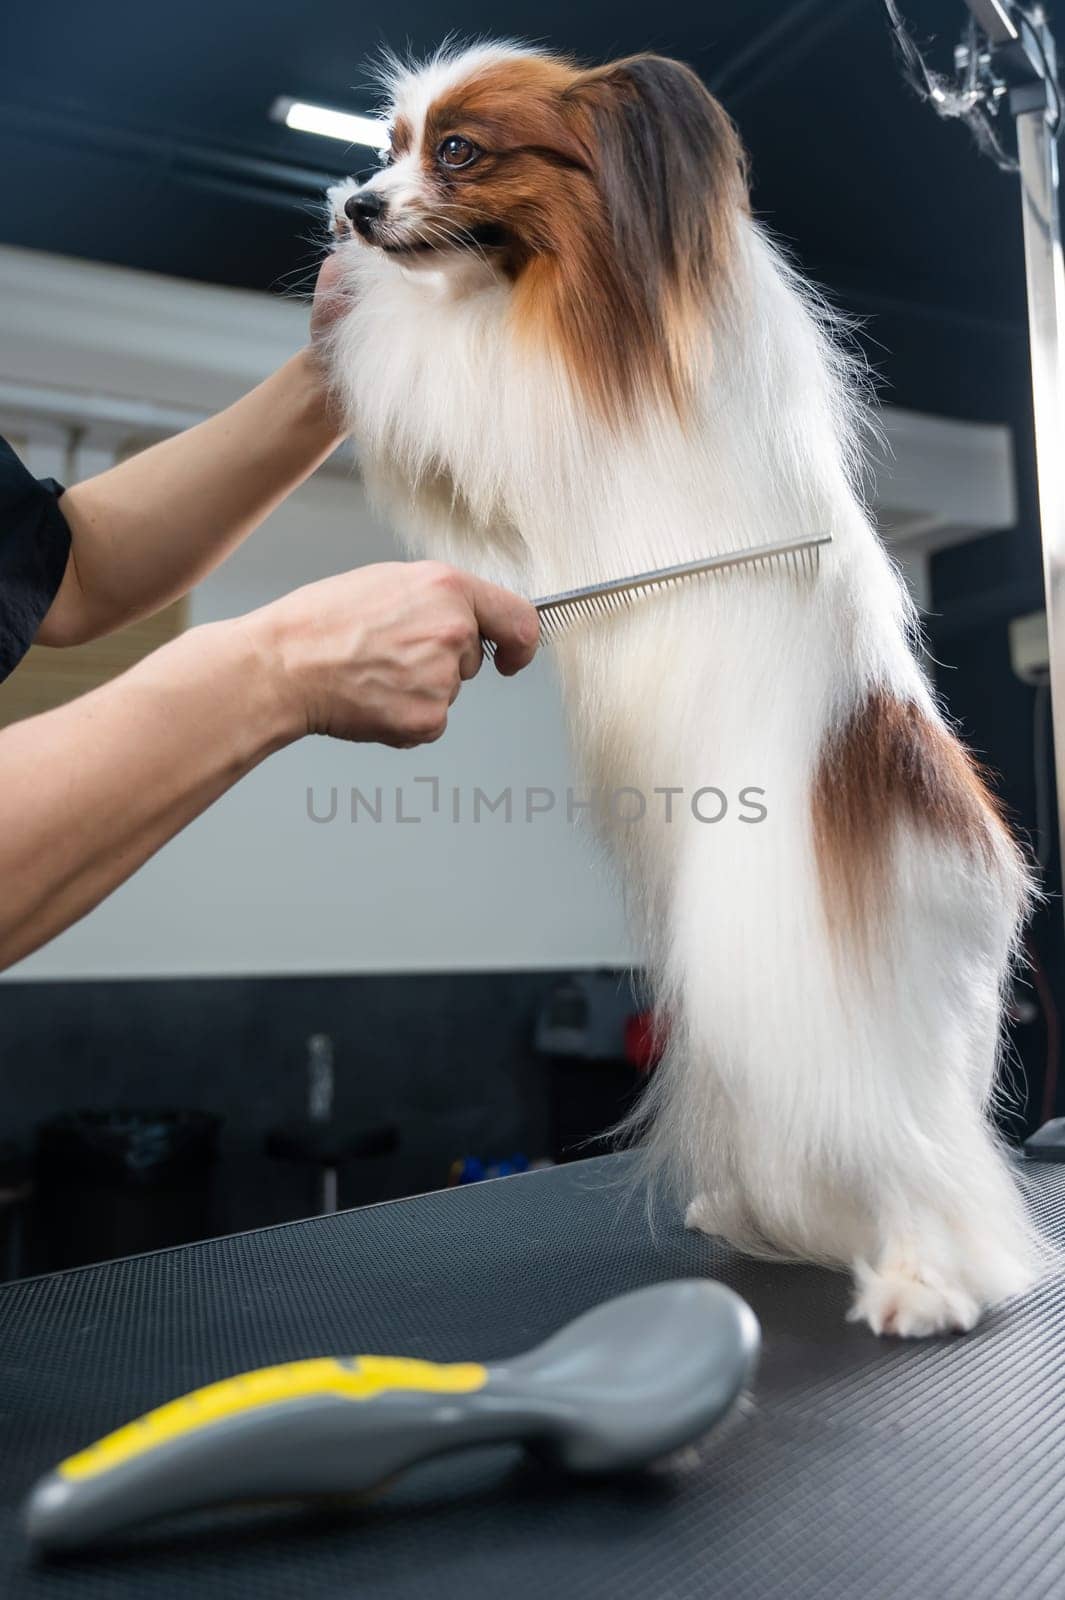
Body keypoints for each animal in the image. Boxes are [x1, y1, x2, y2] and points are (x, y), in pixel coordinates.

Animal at [323, 40, 1036, 1337]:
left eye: (459, 152)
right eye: (388, 147)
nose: (354, 208)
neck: (571, 283)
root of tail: (962, 856)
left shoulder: (564, 402)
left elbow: (447, 380)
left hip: (787, 975)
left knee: (903, 1138)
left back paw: (927, 1280)